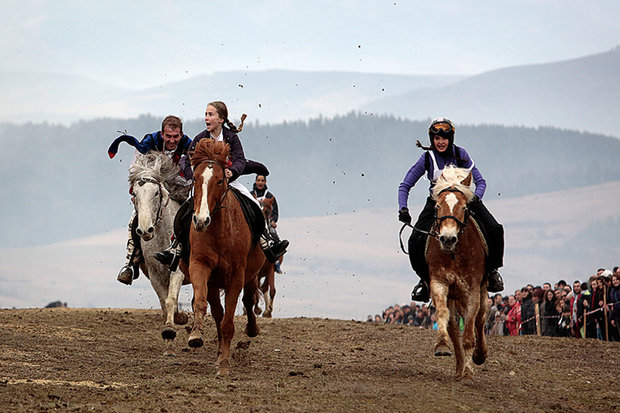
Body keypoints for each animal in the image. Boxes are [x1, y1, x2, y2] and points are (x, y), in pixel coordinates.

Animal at [184, 138, 262, 374]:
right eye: (195, 178)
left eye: (219, 181)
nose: (201, 220)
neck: (219, 231)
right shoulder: (200, 266)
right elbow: (202, 304)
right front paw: (195, 335)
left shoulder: (236, 275)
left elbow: (229, 322)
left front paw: (225, 366)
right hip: (214, 282)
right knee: (218, 311)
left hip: (251, 274)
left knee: (249, 299)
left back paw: (251, 330)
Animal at [426, 165, 490, 380]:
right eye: (437, 207)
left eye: (463, 208)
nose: (447, 239)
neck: (455, 254)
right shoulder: (439, 282)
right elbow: (443, 315)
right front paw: (442, 345)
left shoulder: (472, 290)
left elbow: (470, 331)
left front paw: (469, 373)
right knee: (454, 327)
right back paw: (459, 367)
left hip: (482, 290)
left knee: (480, 319)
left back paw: (479, 355)